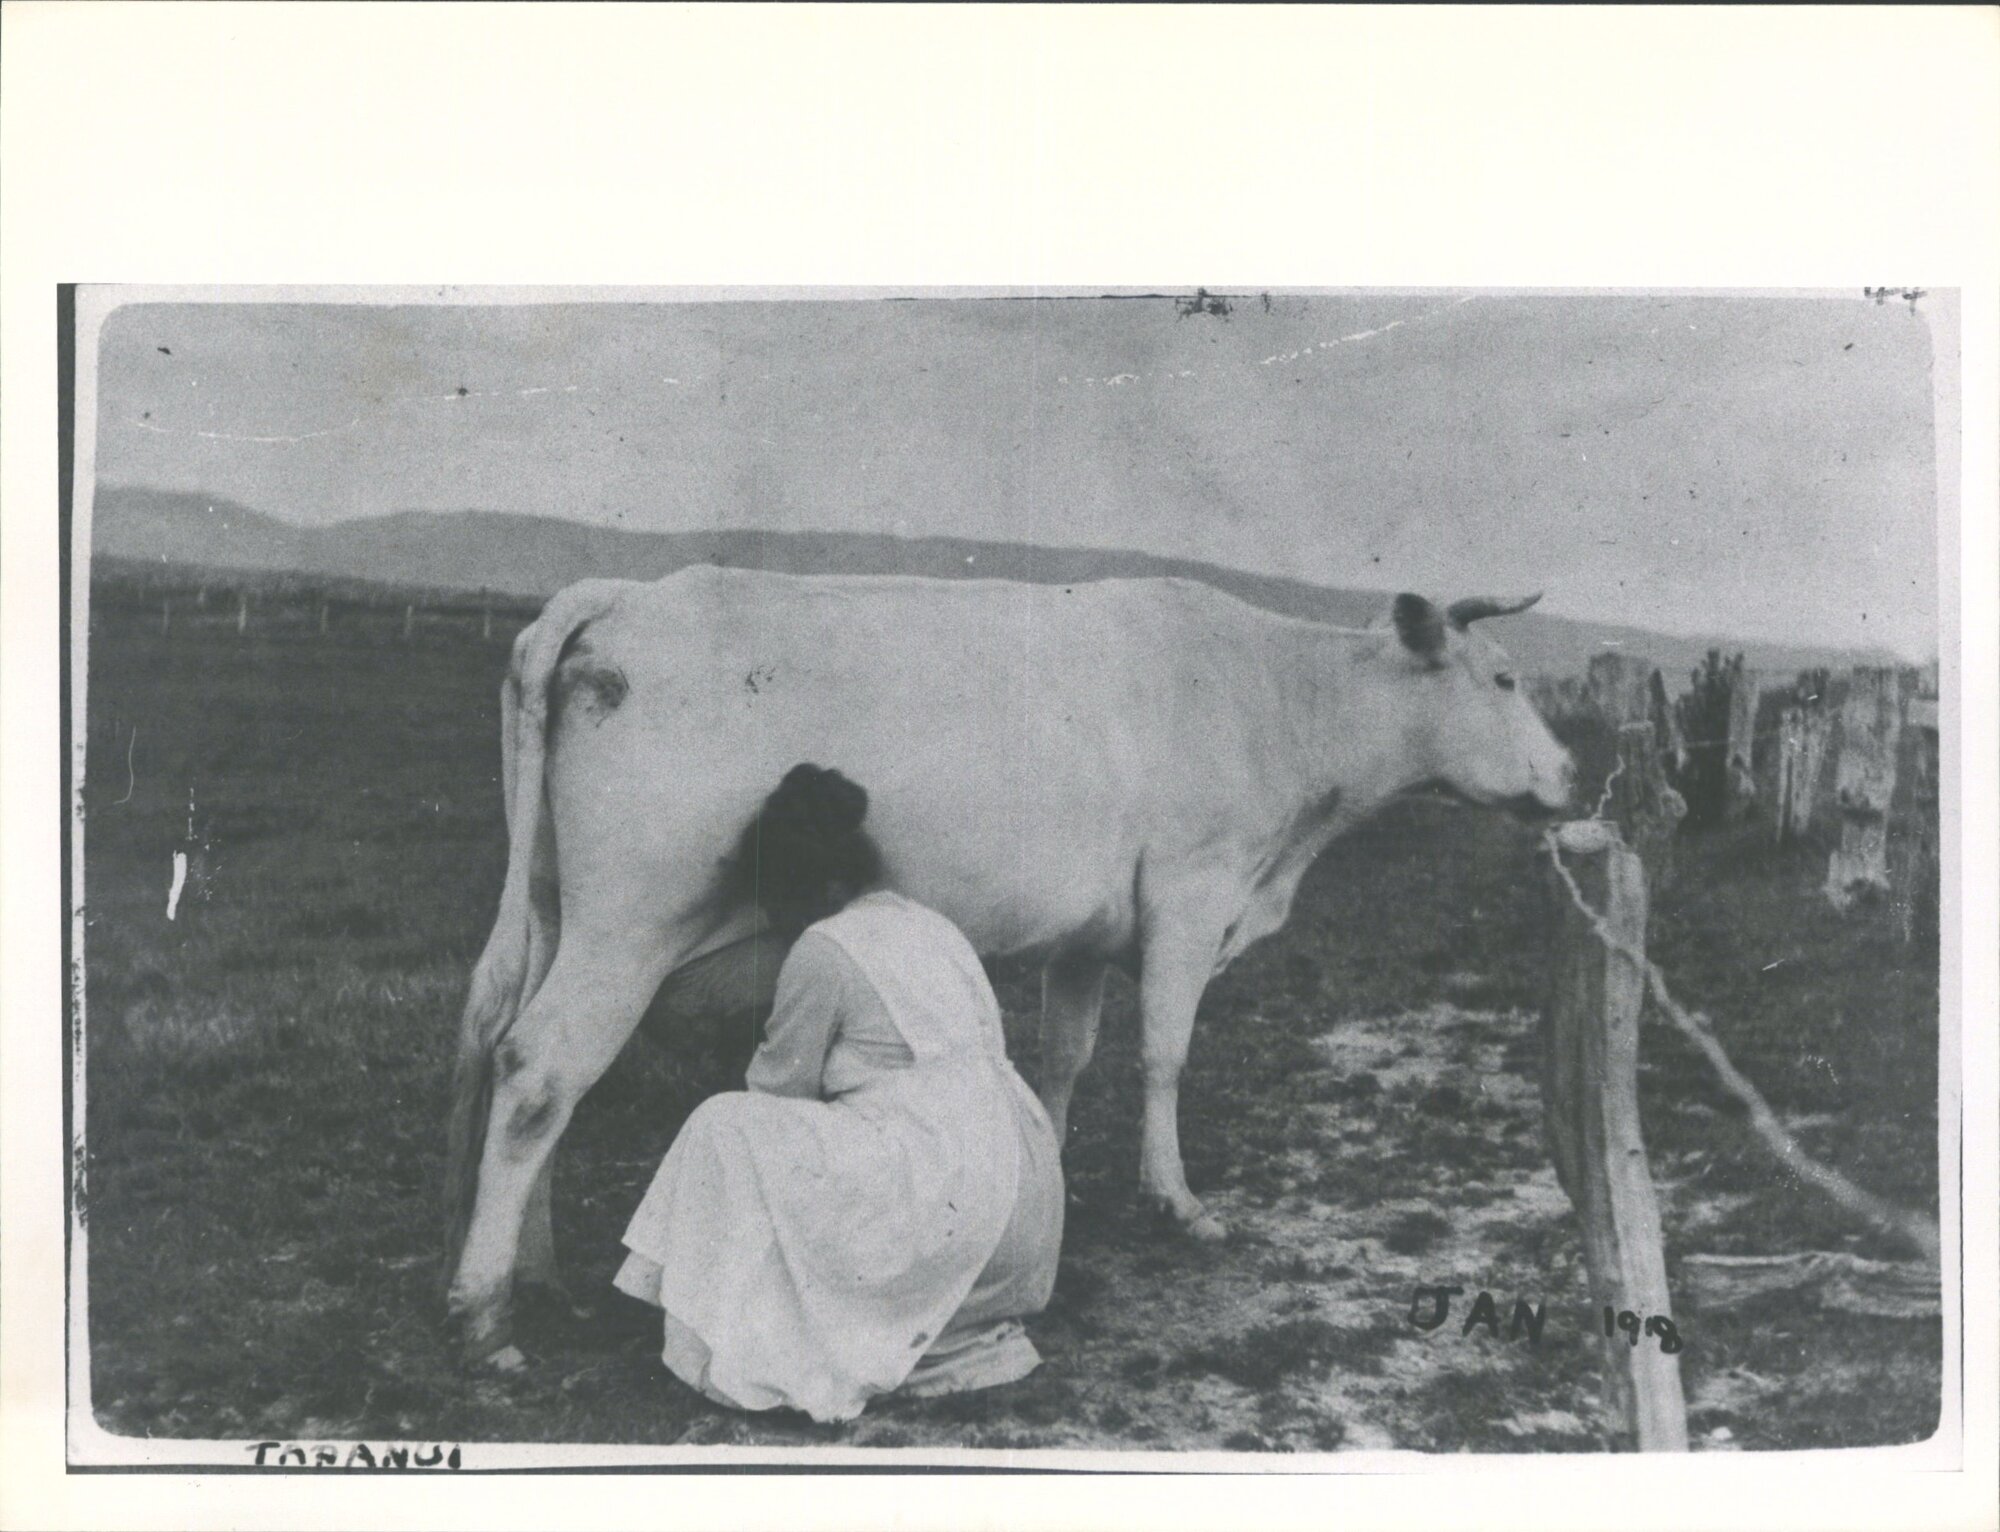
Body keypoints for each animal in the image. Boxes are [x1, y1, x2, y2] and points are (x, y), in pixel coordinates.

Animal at [443, 566, 1574, 1366]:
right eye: (1507, 678)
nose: (1571, 773)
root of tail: (626, 593)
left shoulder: (1084, 934)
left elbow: (1063, 1062)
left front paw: (1051, 1179)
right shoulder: (1190, 892)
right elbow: (1163, 1055)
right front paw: (1178, 1201)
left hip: (554, 914)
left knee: (525, 1067)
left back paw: (539, 1276)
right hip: (628, 923)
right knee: (541, 1072)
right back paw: (484, 1311)